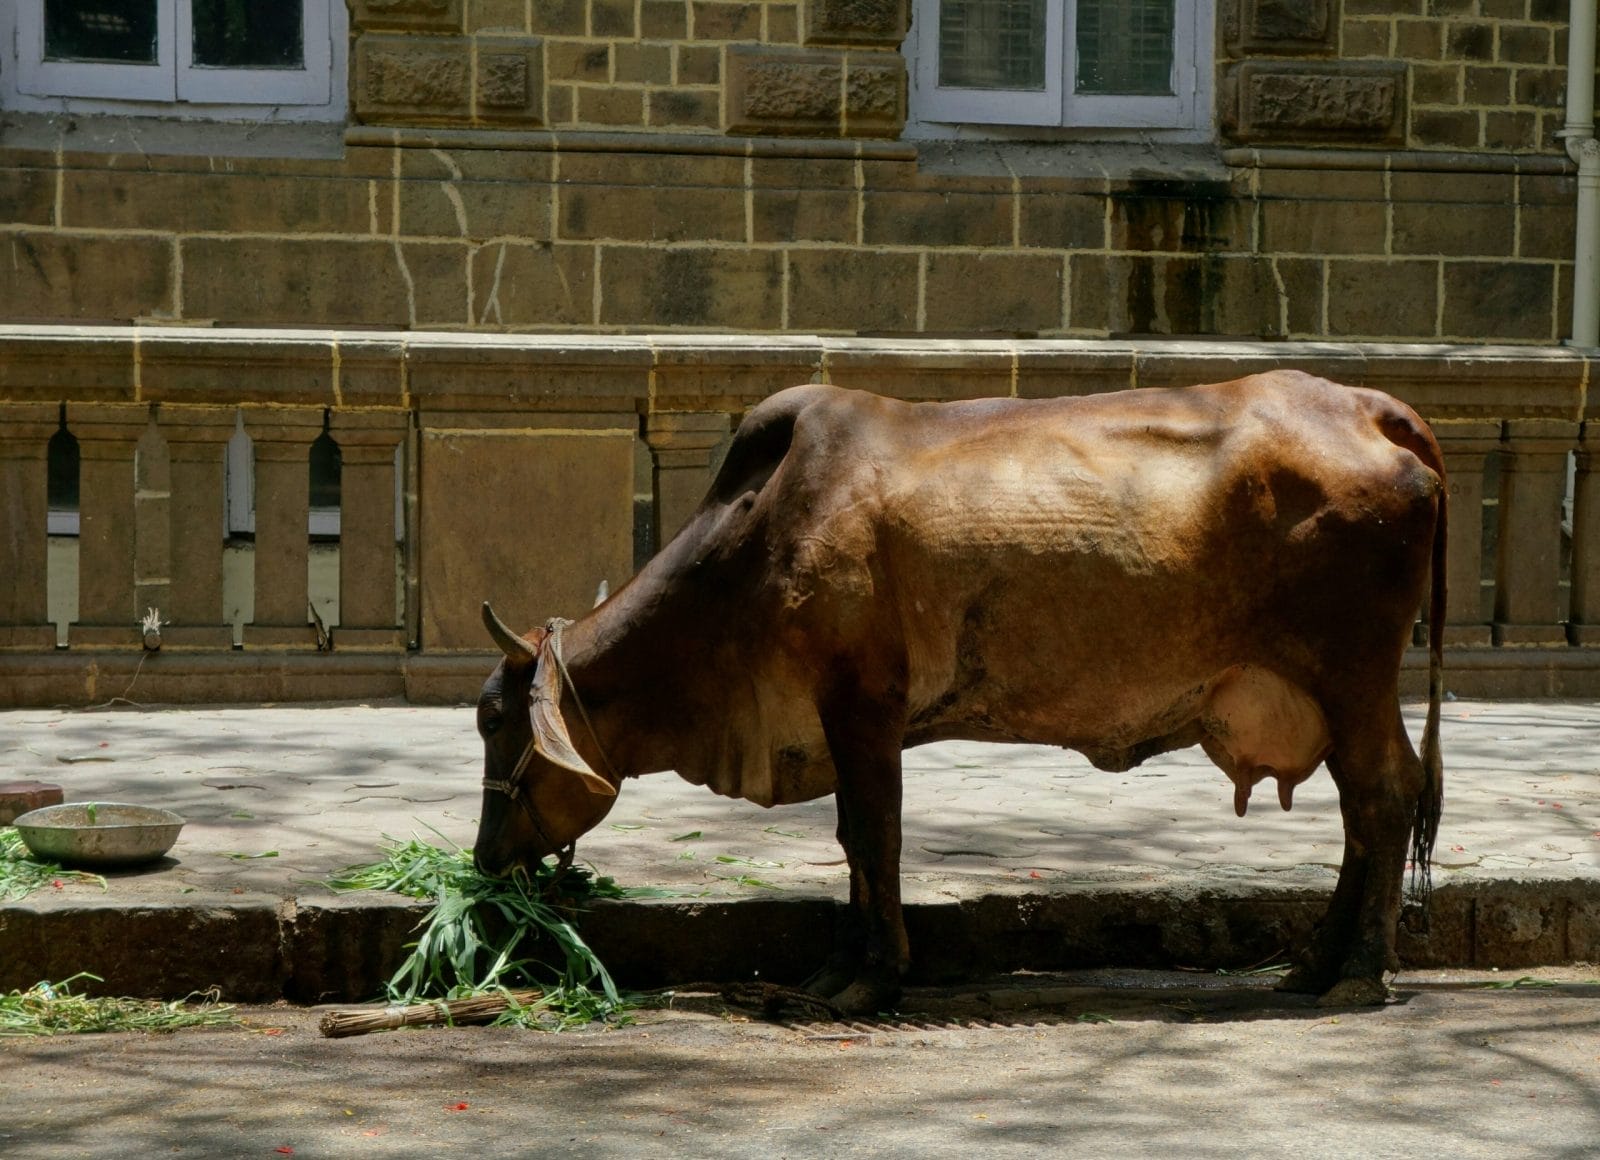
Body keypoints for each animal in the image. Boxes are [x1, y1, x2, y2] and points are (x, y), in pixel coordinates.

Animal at [473, 372, 1446, 1014]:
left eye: (491, 721)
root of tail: (1372, 408)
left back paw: (1358, 971)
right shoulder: (843, 721)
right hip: (1335, 691)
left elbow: (875, 836)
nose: (483, 862)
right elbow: (853, 840)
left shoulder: (864, 703)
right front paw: (838, 970)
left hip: (1353, 675)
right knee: (1364, 813)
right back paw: (1314, 964)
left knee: (1384, 795)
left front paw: (870, 978)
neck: (747, 546)